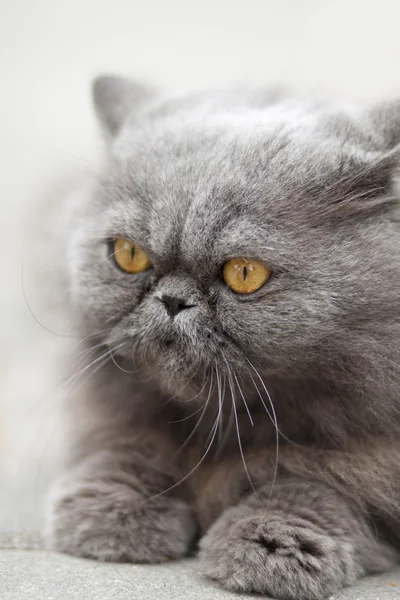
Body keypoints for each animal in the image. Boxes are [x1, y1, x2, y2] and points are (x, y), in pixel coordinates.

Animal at [45, 75, 400, 600]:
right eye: (128, 254)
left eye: (245, 273)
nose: (173, 301)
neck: (222, 425)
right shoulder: (119, 413)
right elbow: (129, 449)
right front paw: (113, 517)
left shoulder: (369, 459)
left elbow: (318, 485)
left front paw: (268, 548)